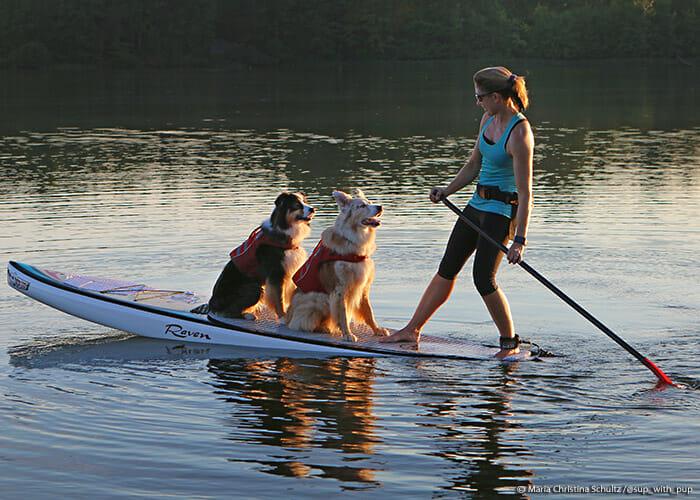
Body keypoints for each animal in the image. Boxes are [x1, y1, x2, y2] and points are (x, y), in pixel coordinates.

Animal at [208, 191, 314, 320]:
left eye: (305, 201)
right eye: (297, 205)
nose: (313, 209)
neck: (283, 229)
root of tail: (212, 304)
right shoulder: (276, 272)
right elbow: (279, 299)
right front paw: (282, 317)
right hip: (254, 288)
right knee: (226, 312)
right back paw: (247, 315)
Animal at [288, 189, 392, 342]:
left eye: (370, 202)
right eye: (362, 206)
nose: (380, 207)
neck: (354, 239)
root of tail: (286, 317)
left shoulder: (363, 284)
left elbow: (369, 311)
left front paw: (377, 329)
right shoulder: (340, 289)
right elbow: (343, 314)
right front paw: (348, 334)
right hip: (317, 297)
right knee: (303, 323)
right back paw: (323, 328)